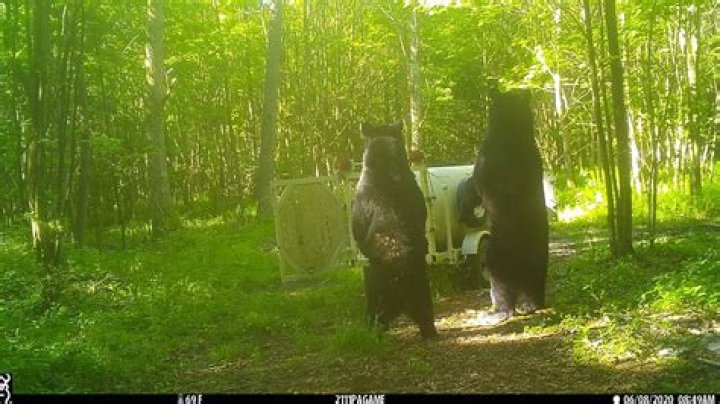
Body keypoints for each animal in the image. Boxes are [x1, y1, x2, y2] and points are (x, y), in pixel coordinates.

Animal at [352, 121, 438, 339]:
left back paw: (373, 331)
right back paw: (429, 331)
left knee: (379, 309)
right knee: (424, 307)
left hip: (381, 280)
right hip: (420, 280)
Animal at [471, 89, 549, 324]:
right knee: (535, 284)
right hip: (538, 257)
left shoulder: (487, 159)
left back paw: (497, 312)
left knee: (502, 288)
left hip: (497, 259)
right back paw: (530, 304)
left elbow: (478, 181)